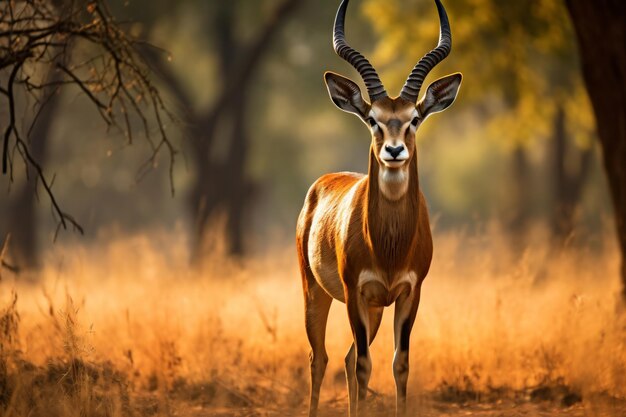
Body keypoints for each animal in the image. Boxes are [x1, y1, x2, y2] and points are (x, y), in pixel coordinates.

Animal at [294, 0, 460, 416]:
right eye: (373, 119)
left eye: (414, 118)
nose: (394, 151)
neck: (387, 244)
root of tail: (322, 183)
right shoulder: (355, 291)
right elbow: (365, 365)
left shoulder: (408, 292)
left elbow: (399, 363)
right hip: (315, 291)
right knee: (321, 358)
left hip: (375, 309)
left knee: (346, 357)